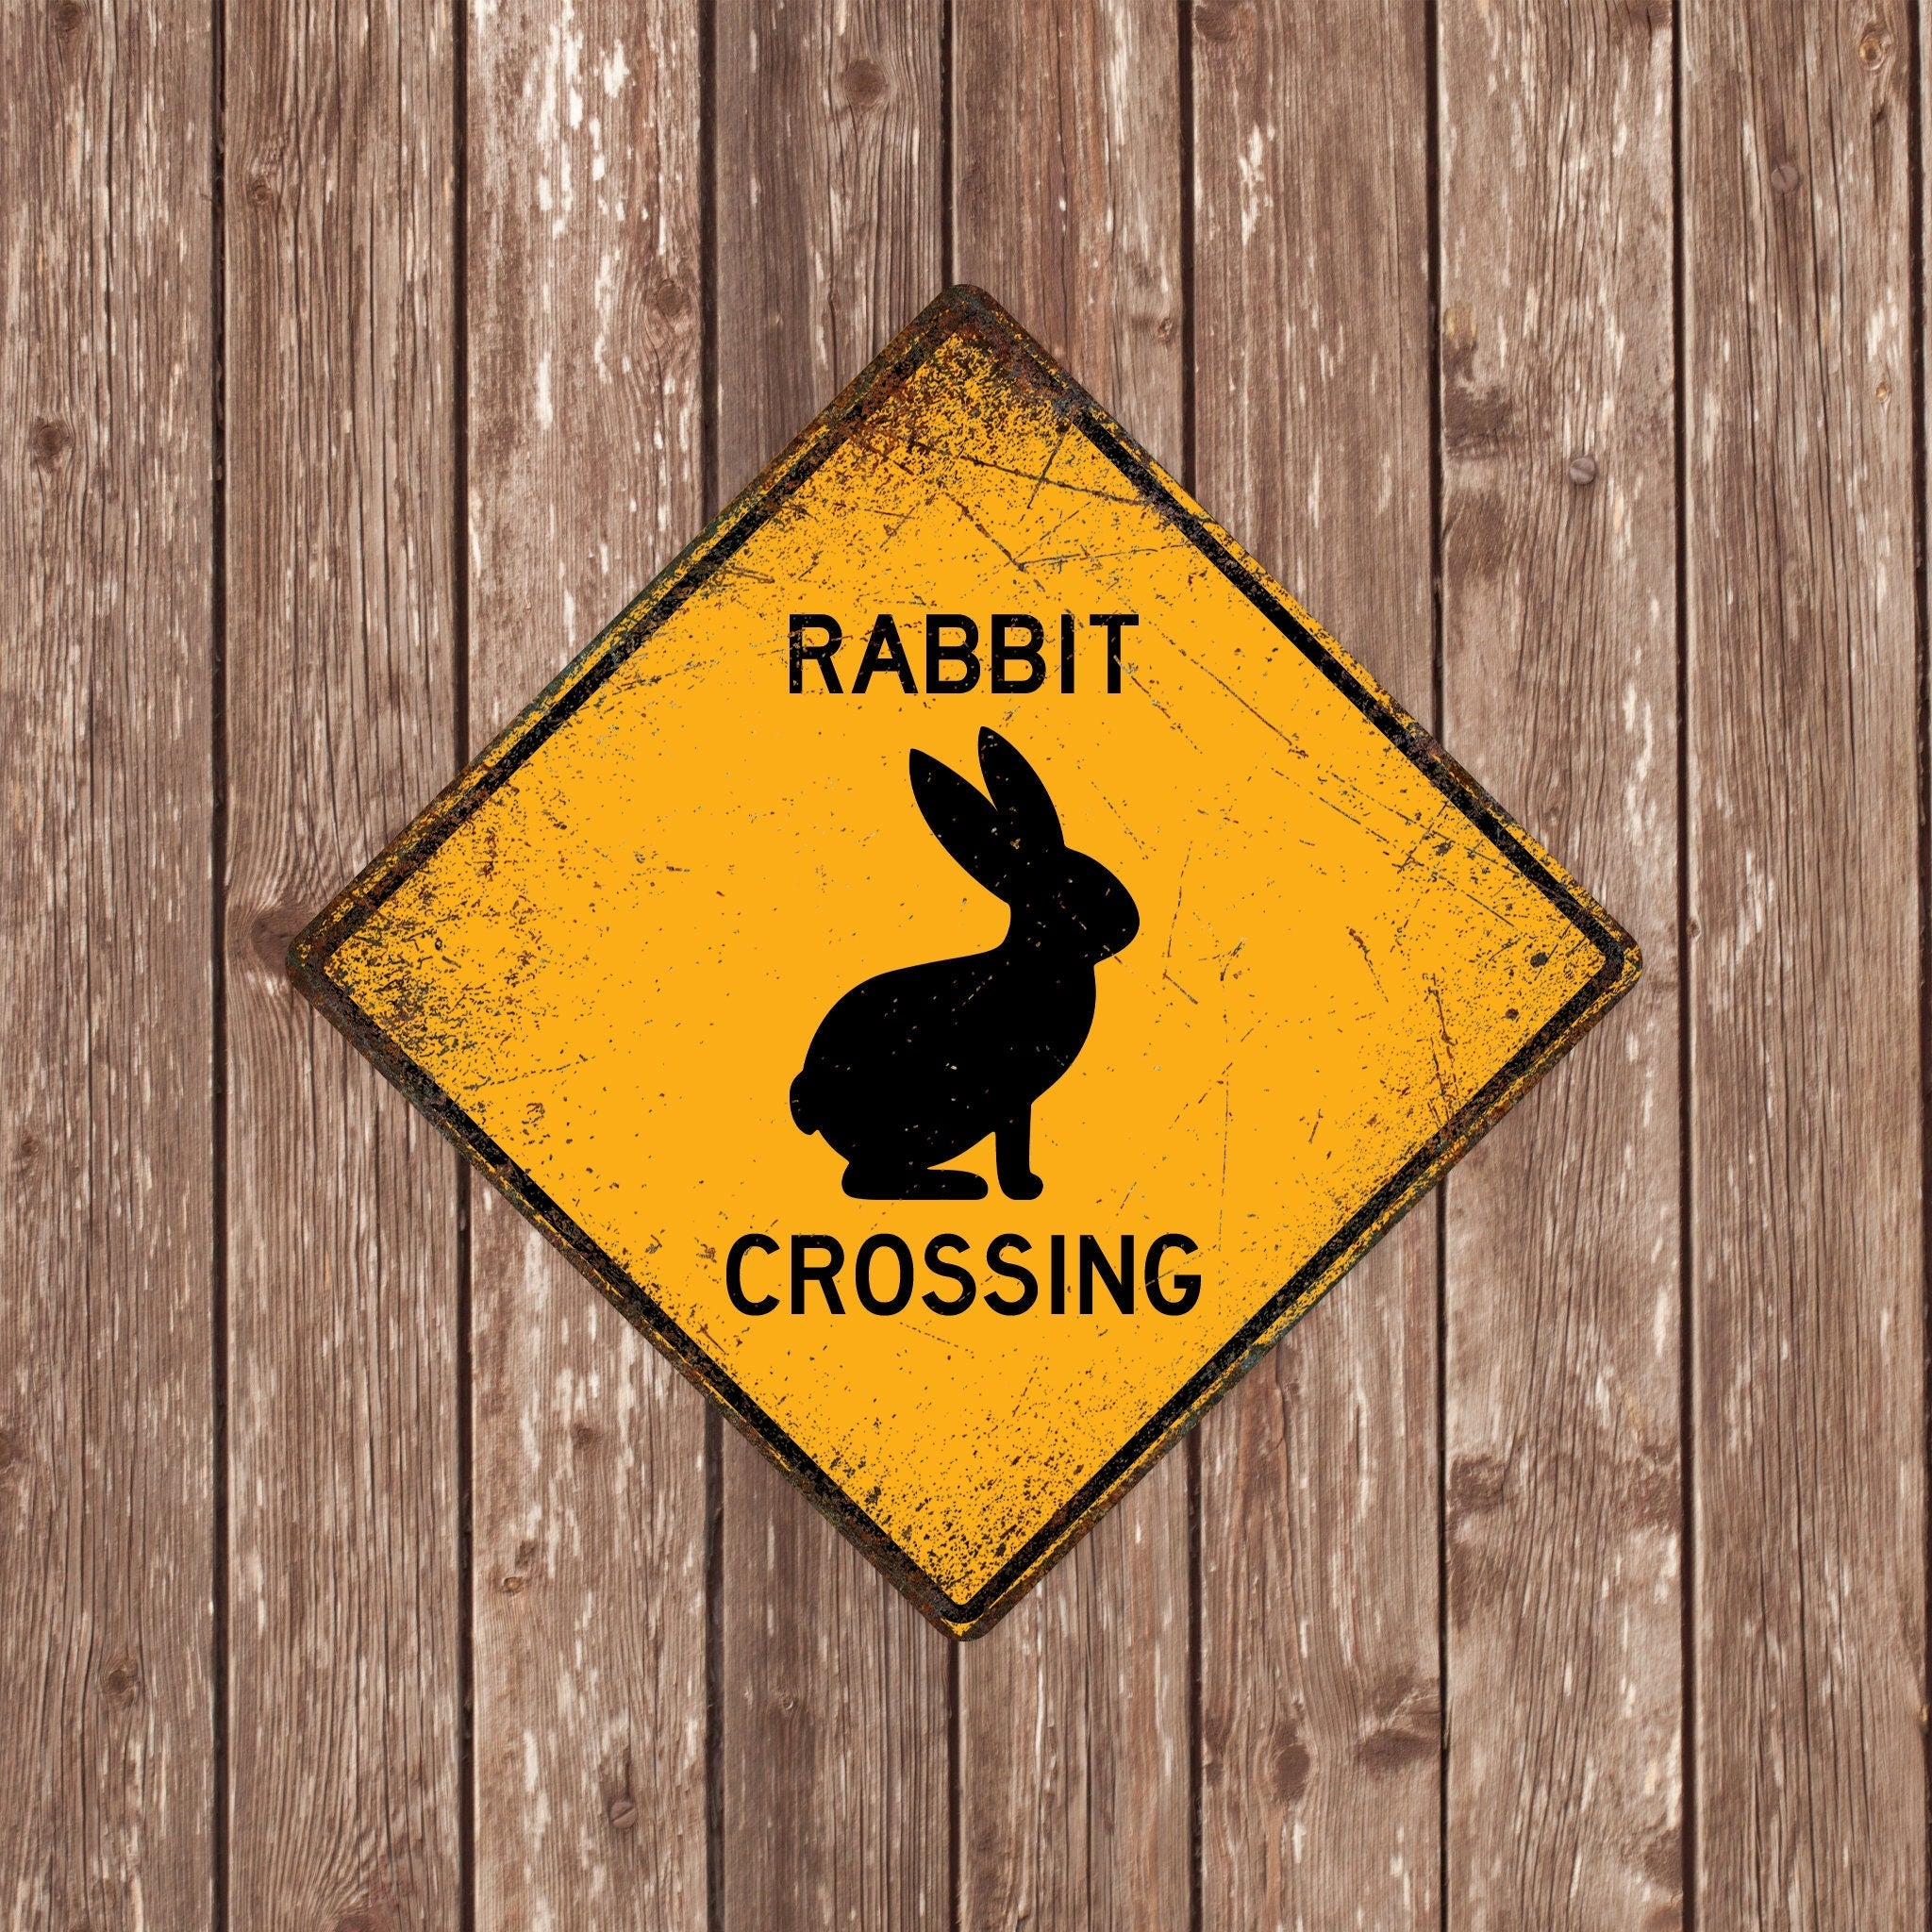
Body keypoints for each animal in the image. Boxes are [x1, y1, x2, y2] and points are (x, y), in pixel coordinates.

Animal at [790, 726, 1140, 1200]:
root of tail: (808, 1094)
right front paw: (1025, 1188)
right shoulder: (1013, 1097)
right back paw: (960, 1184)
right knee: (864, 1181)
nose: (1130, 924)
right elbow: (1013, 1143)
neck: (1036, 963)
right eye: (1072, 890)